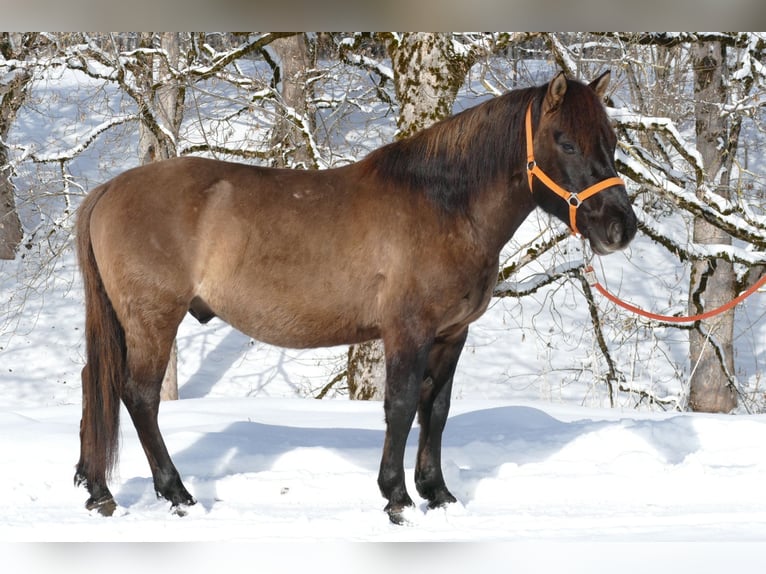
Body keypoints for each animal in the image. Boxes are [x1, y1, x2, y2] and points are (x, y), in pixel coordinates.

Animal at [75, 72, 640, 528]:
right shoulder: (407, 332)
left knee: (95, 384)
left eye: (612, 141)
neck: (445, 206)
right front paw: (397, 499)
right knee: (139, 397)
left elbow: (436, 409)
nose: (621, 227)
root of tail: (107, 189)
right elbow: (401, 405)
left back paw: (98, 491)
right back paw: (176, 494)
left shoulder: (451, 335)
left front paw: (438, 493)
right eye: (565, 142)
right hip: (153, 320)